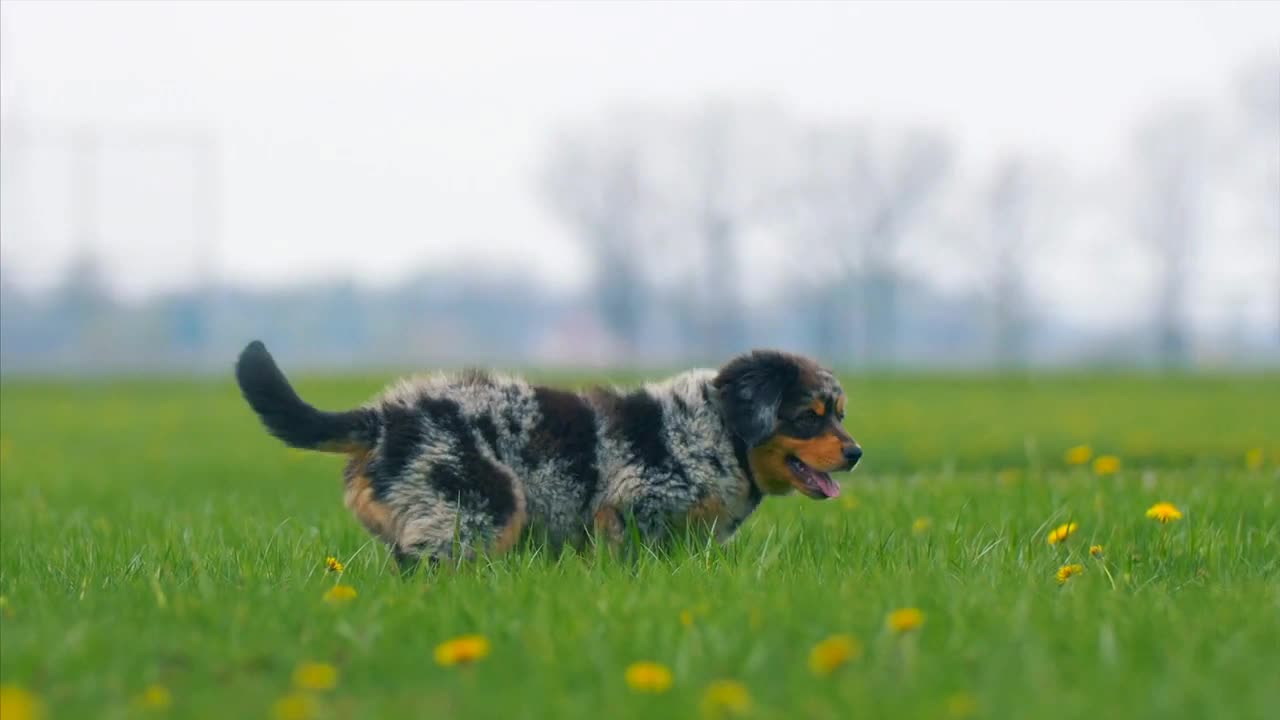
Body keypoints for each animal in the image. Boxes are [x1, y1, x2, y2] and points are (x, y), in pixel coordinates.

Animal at [240, 340, 860, 566]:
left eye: (841, 411)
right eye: (810, 415)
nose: (856, 453)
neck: (719, 433)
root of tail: (386, 416)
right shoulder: (631, 509)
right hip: (477, 511)